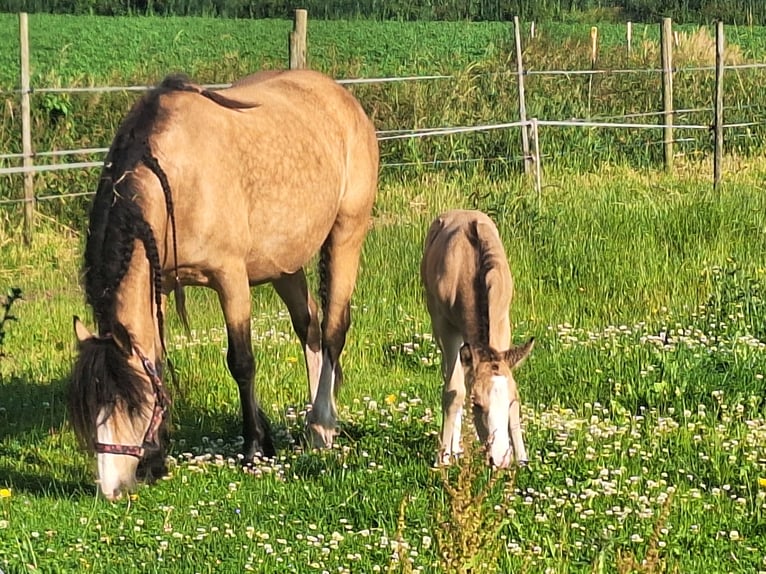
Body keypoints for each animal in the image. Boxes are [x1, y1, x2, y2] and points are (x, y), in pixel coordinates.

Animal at [68, 71, 378, 504]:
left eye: (128, 404)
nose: (111, 490)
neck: (175, 176)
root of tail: (342, 97)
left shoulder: (230, 279)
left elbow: (241, 362)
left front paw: (253, 448)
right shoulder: (161, 287)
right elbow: (158, 364)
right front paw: (158, 459)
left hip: (347, 233)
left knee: (333, 330)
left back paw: (322, 425)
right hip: (284, 264)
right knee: (309, 328)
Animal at [420, 209, 536, 470]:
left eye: (512, 401)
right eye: (478, 404)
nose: (500, 458)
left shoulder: (502, 322)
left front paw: (522, 457)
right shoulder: (446, 326)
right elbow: (454, 390)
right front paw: (444, 456)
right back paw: (453, 448)